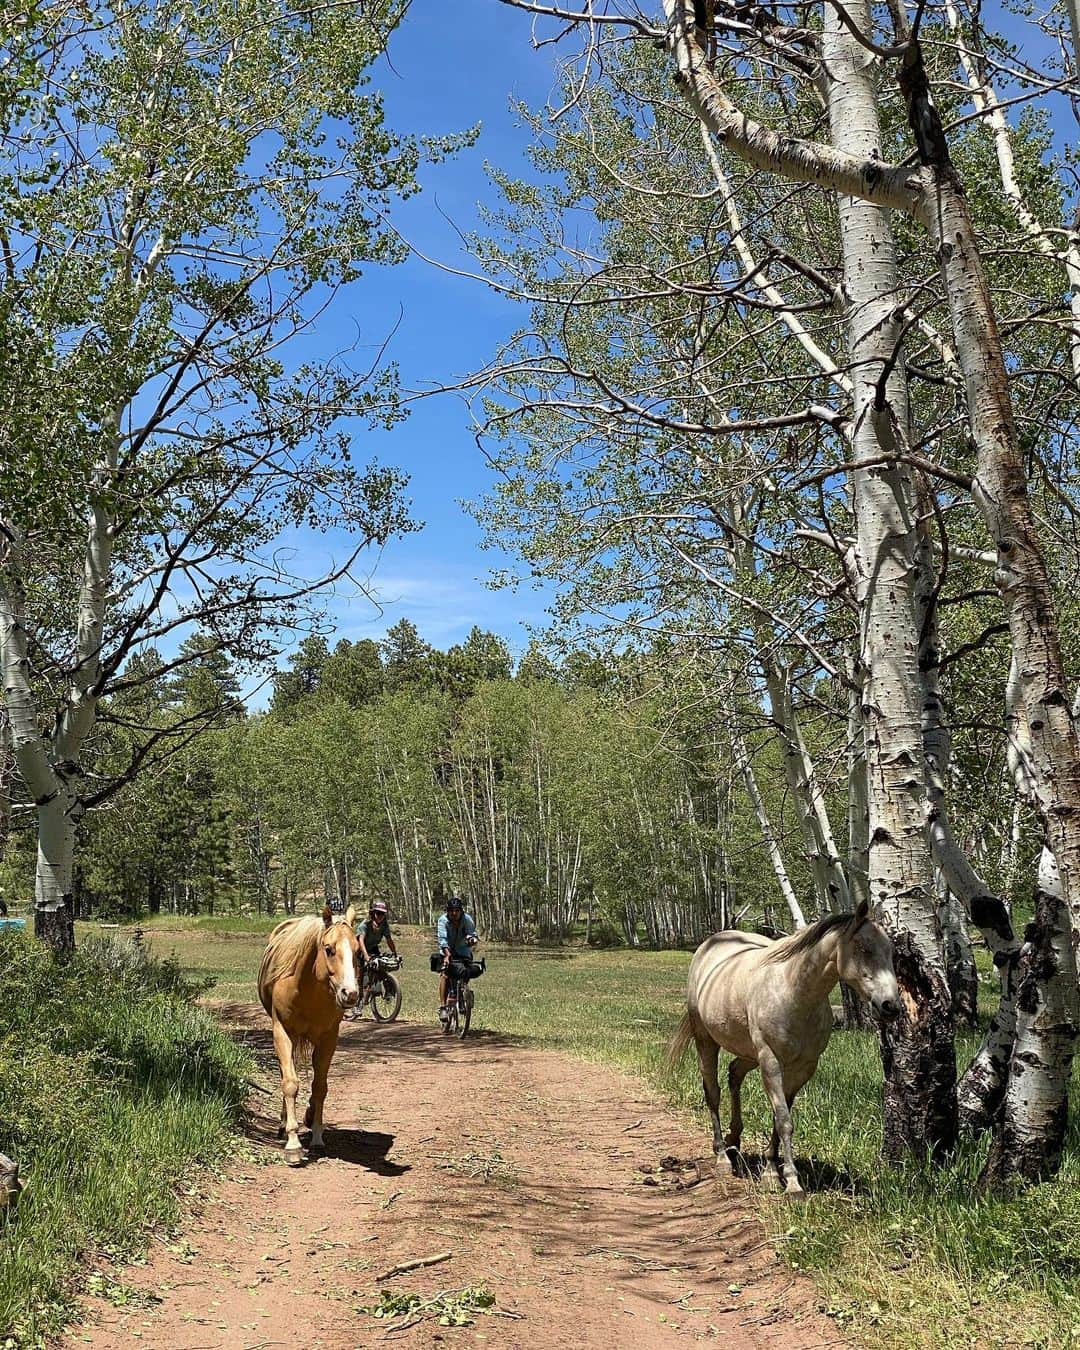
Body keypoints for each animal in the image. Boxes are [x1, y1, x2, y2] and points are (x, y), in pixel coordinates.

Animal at [259, 907, 361, 1161]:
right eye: (329, 949)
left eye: (358, 951)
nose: (350, 994)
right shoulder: (282, 1032)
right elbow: (290, 1084)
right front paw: (293, 1144)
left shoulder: (328, 1038)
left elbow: (320, 1087)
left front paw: (316, 1136)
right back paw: (284, 1124)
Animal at [669, 901, 896, 1198]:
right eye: (864, 949)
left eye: (891, 952)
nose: (891, 1005)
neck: (794, 992)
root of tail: (709, 945)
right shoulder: (771, 1061)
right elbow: (784, 1120)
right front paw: (792, 1182)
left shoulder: (802, 1068)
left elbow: (780, 1116)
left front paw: (770, 1171)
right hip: (706, 1041)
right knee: (713, 1093)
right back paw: (721, 1156)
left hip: (748, 1054)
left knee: (734, 1074)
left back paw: (734, 1140)